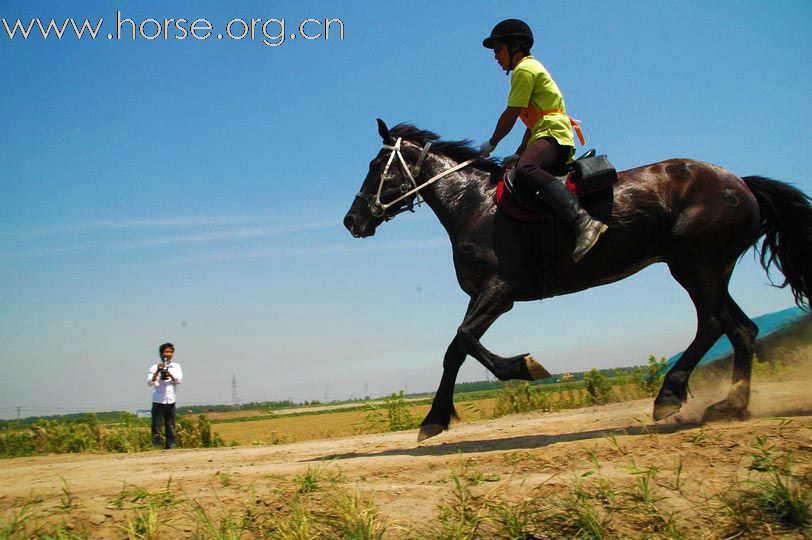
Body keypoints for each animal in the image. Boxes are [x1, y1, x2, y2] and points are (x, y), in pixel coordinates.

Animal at [344, 117, 812, 438]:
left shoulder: (501, 290)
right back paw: (732, 405)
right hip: (713, 270)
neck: (472, 203)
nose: (352, 220)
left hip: (694, 265)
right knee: (742, 329)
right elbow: (457, 350)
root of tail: (741, 183)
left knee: (714, 323)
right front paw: (436, 417)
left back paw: (670, 395)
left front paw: (523, 367)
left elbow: (461, 340)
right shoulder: (483, 293)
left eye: (376, 164)